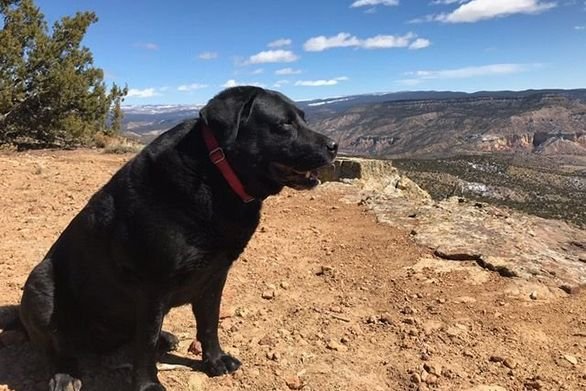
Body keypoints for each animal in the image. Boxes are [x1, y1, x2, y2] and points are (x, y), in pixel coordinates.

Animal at [18, 86, 336, 391]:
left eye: (304, 118)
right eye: (284, 123)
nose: (333, 146)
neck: (215, 176)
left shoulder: (215, 276)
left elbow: (208, 323)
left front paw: (215, 361)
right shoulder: (152, 285)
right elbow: (145, 344)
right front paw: (148, 385)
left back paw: (165, 338)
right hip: (40, 282)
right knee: (59, 343)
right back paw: (65, 374)